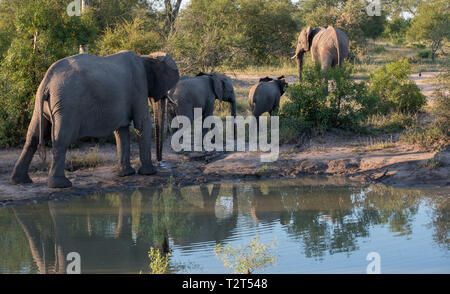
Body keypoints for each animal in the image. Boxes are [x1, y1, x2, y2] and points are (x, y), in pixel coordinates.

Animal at [9, 50, 178, 188]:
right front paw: (149, 173)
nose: (161, 163)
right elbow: (142, 124)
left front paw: (125, 174)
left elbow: (121, 130)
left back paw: (20, 181)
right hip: (67, 104)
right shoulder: (139, 86)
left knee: (33, 136)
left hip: (42, 102)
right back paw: (61, 185)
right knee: (61, 139)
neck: (146, 57)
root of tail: (47, 81)